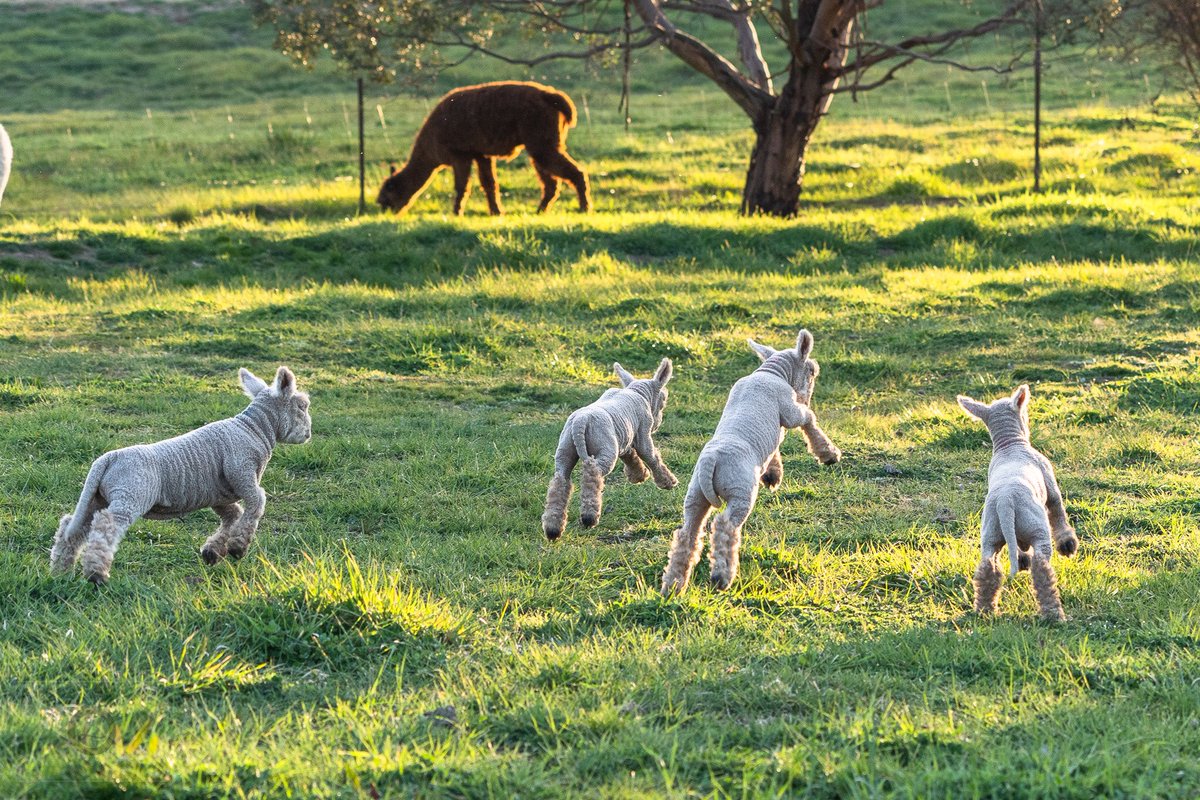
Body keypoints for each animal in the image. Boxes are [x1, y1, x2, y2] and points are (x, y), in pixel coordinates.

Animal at [49, 367, 312, 585]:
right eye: (302, 406)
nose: (309, 433)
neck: (254, 429)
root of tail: (107, 459)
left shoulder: (220, 494)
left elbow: (233, 516)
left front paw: (213, 551)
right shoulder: (242, 471)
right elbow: (256, 504)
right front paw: (238, 546)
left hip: (95, 498)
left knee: (72, 527)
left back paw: (60, 571)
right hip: (130, 496)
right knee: (105, 526)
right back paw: (96, 574)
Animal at [542, 359, 676, 542]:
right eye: (663, 400)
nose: (658, 423)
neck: (638, 392)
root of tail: (580, 422)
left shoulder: (624, 438)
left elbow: (630, 456)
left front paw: (639, 476)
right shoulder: (643, 432)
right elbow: (651, 456)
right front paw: (668, 481)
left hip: (565, 449)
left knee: (560, 481)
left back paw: (553, 529)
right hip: (605, 449)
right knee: (592, 474)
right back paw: (589, 517)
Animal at [662, 328, 840, 597]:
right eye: (812, 372)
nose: (807, 396)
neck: (771, 372)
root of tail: (711, 461)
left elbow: (775, 446)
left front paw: (773, 474)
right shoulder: (789, 409)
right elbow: (807, 419)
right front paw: (828, 453)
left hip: (695, 496)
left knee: (687, 534)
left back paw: (673, 585)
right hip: (740, 492)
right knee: (724, 526)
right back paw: (721, 576)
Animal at [955, 383, 1080, 623]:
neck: (1010, 445)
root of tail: (1005, 502)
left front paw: (1022, 558)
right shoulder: (1050, 483)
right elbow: (1058, 512)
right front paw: (1068, 544)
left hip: (991, 533)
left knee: (988, 569)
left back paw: (985, 610)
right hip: (1037, 529)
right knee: (1041, 569)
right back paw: (1053, 614)